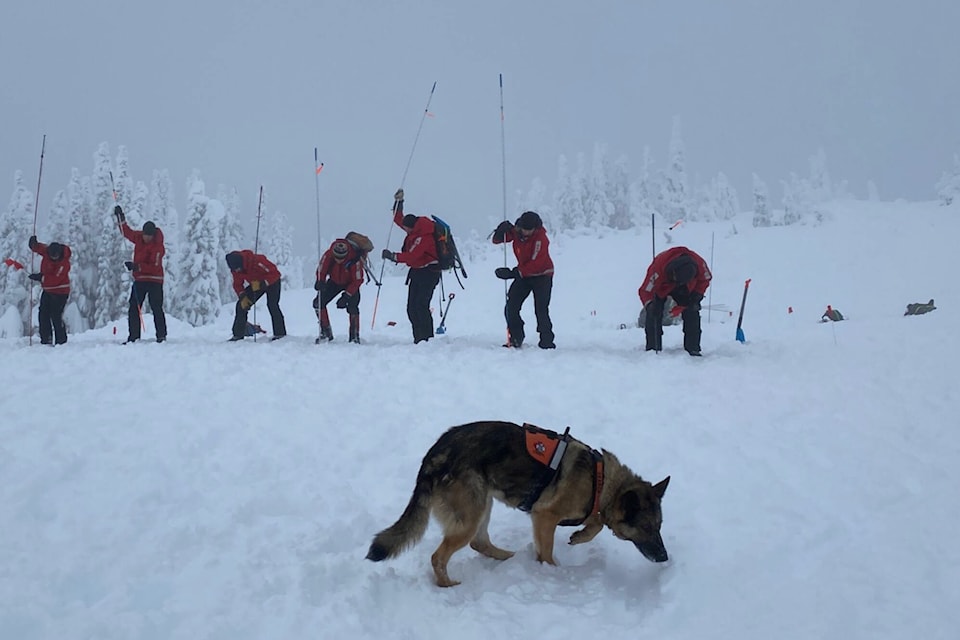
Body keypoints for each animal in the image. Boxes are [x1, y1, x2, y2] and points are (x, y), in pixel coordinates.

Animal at [364, 422, 672, 588]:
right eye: (647, 528)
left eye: (660, 526)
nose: (664, 557)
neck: (601, 480)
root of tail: (434, 454)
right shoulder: (544, 516)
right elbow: (547, 552)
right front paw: (552, 572)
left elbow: (594, 523)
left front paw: (580, 535)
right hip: (472, 513)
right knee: (439, 557)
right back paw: (448, 585)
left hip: (483, 504)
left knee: (479, 543)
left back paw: (508, 557)